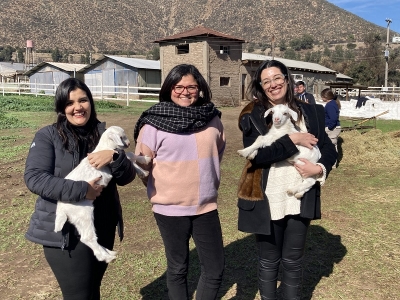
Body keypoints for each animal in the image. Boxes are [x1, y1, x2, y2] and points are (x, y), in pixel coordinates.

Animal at [54, 126, 150, 262]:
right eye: (121, 137)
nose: (128, 144)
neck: (104, 147)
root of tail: (61, 207)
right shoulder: (112, 158)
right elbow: (129, 155)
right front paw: (145, 164)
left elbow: (129, 158)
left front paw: (143, 168)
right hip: (83, 214)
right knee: (87, 237)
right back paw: (106, 257)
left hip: (77, 219)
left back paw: (108, 252)